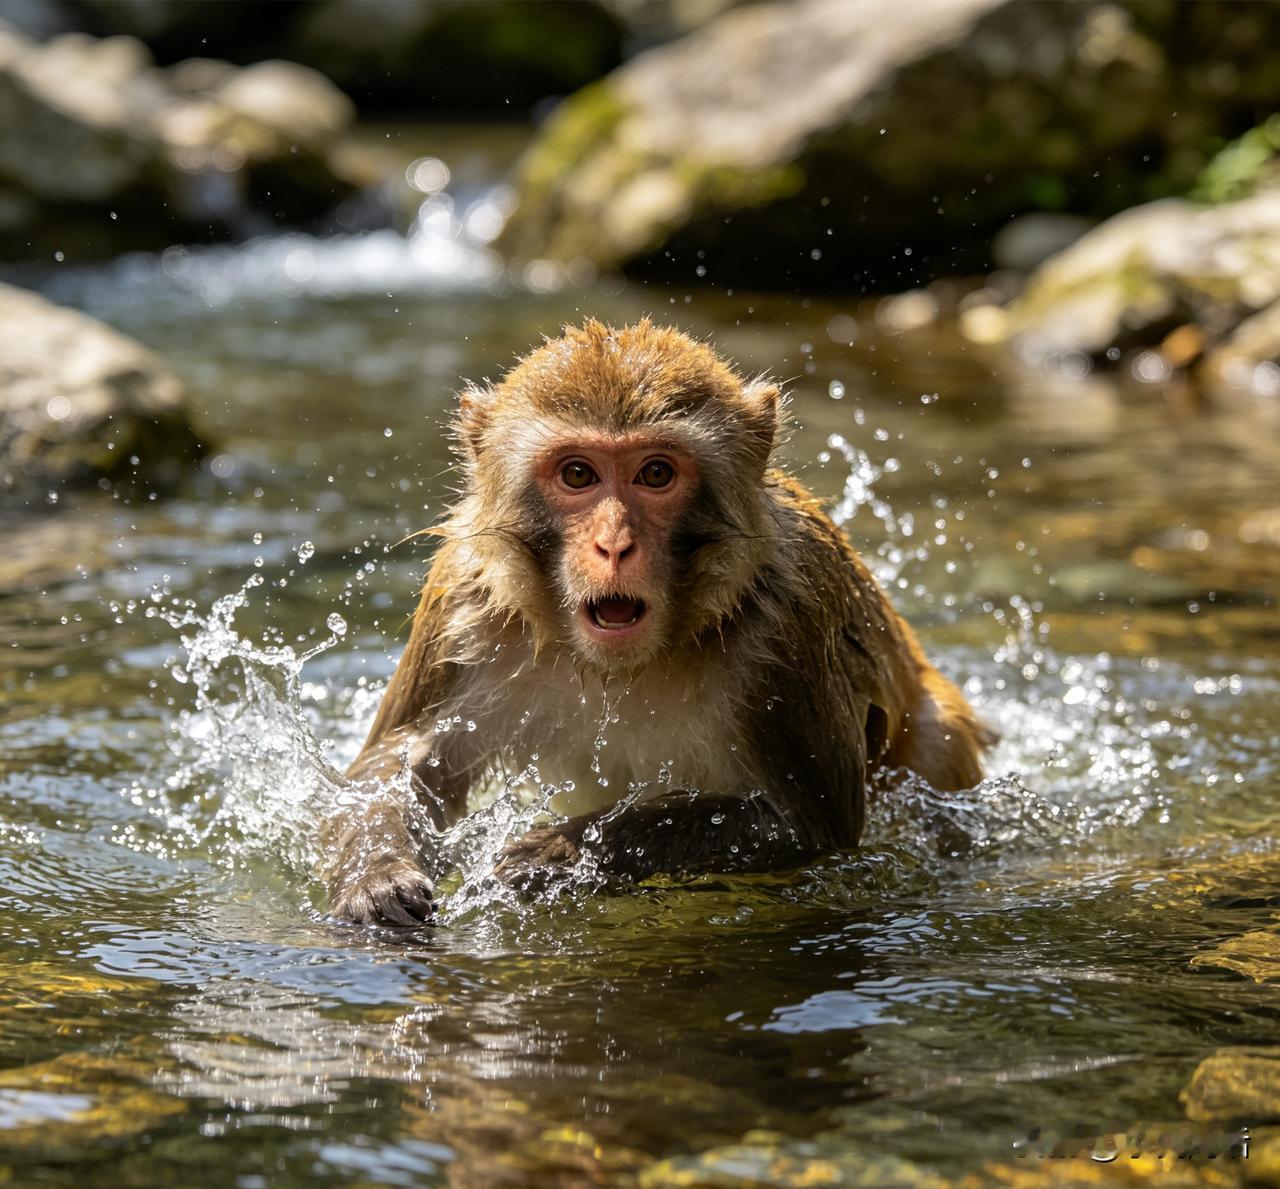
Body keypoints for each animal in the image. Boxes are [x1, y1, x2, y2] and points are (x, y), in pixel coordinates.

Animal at [325, 319, 989, 925]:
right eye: (578, 474)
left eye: (656, 474)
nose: (615, 545)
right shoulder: (463, 595)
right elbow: (401, 769)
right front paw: (379, 878)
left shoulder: (790, 623)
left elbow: (813, 827)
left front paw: (562, 854)